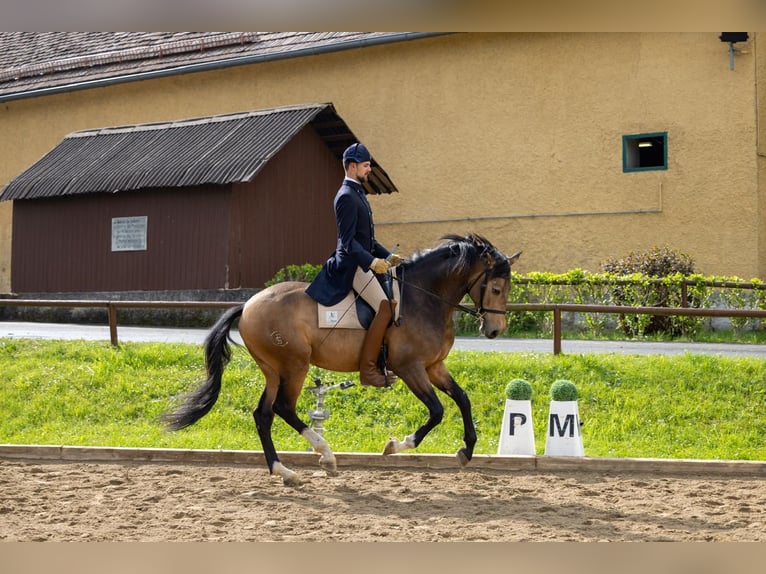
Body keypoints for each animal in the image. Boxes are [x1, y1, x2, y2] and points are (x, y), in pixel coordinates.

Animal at [162, 234, 520, 486]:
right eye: (496, 288)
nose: (494, 330)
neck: (424, 297)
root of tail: (248, 304)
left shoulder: (434, 366)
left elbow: (463, 399)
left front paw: (466, 451)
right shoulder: (410, 368)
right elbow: (437, 411)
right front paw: (396, 445)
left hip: (273, 369)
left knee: (263, 414)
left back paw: (285, 471)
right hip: (295, 365)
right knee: (283, 408)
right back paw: (326, 456)